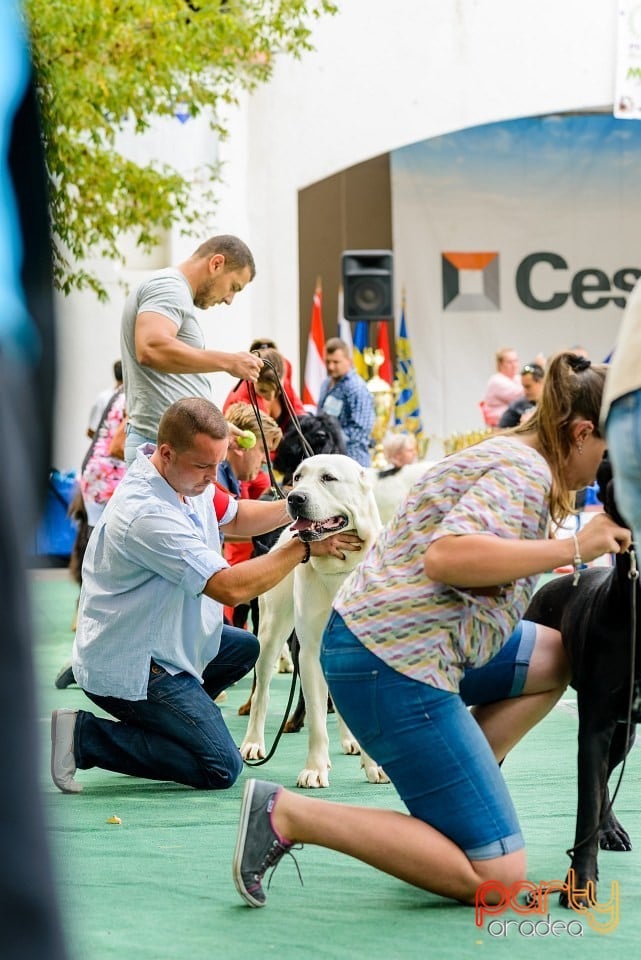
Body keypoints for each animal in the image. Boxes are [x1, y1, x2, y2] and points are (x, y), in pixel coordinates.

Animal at [240, 456, 388, 788]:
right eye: (298, 477)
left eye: (328, 478)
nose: (295, 498)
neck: (340, 567)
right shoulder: (307, 653)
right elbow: (317, 720)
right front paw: (315, 770)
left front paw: (375, 766)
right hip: (270, 635)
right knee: (261, 690)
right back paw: (253, 742)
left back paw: (351, 742)